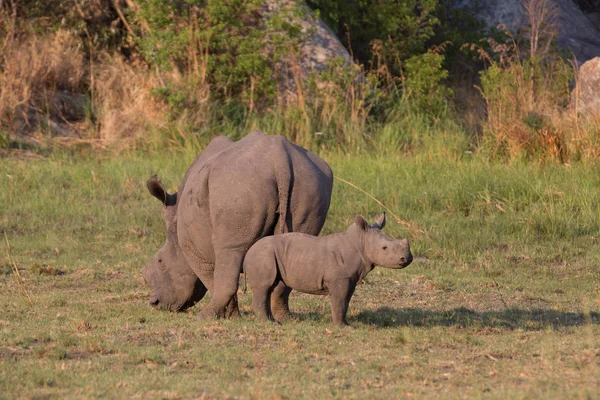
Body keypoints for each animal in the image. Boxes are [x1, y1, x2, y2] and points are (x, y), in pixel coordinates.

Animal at [244, 212, 412, 324]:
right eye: (384, 248)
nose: (407, 258)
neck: (360, 242)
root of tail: (248, 252)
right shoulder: (340, 278)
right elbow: (340, 301)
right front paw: (342, 327)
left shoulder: (350, 278)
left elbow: (345, 302)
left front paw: (345, 324)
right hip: (263, 256)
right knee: (264, 287)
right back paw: (271, 323)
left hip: (268, 256)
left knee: (268, 288)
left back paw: (272, 321)